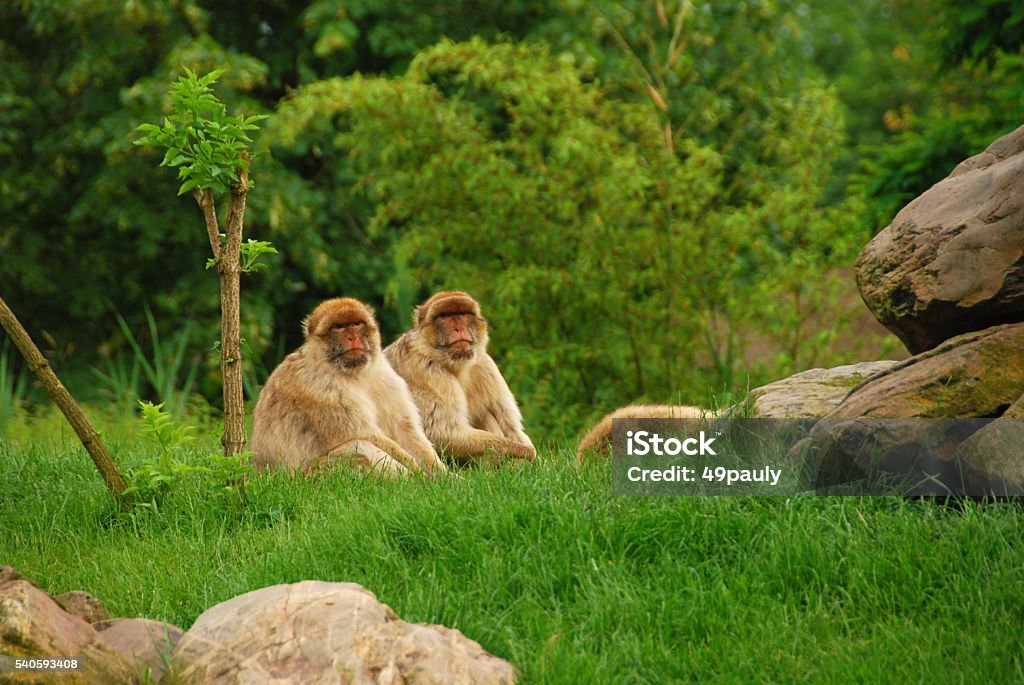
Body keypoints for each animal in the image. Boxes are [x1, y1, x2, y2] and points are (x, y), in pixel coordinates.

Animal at [248, 296, 448, 479]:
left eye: (357, 323)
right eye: (339, 327)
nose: (353, 337)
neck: (355, 374)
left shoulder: (387, 379)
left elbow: (404, 429)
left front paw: (445, 477)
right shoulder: (321, 391)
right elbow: (366, 435)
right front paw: (423, 477)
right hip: (314, 477)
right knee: (359, 446)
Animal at [385, 288, 536, 464]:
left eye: (463, 314)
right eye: (445, 316)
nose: (459, 328)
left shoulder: (485, 364)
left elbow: (513, 427)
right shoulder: (427, 372)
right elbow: (442, 434)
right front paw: (524, 451)